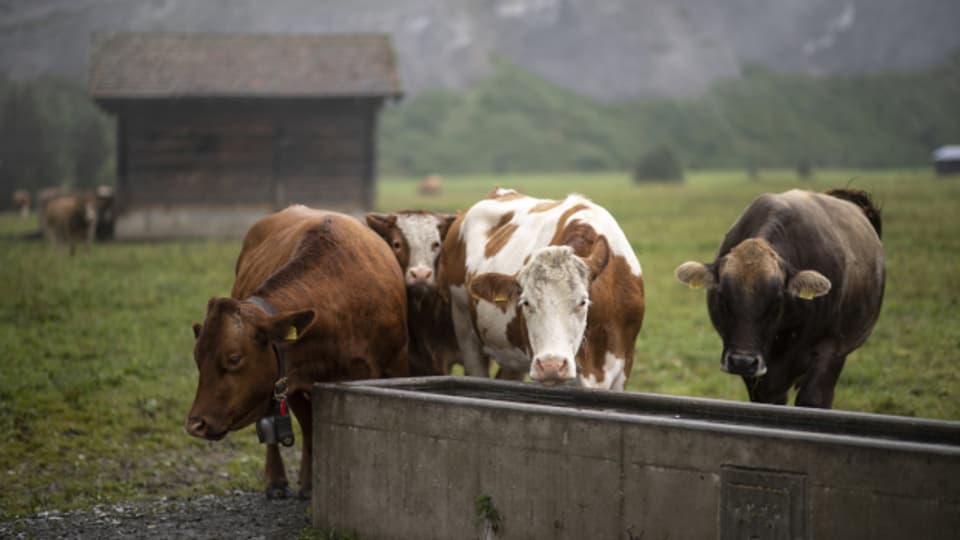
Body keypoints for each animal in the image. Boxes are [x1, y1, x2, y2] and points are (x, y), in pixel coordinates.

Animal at [187, 206, 408, 498]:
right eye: (197, 358)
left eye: (234, 358)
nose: (195, 424)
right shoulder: (290, 379)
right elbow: (309, 428)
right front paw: (309, 483)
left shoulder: (391, 367)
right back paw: (276, 480)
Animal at [676, 188, 884, 408]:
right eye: (722, 295)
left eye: (777, 299)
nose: (742, 361)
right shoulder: (762, 378)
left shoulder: (830, 351)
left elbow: (813, 399)